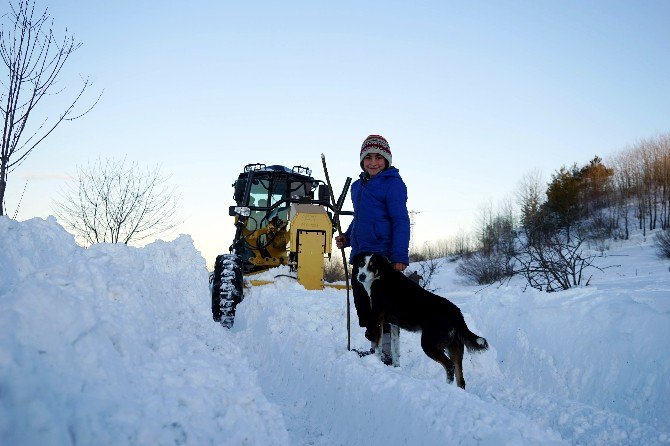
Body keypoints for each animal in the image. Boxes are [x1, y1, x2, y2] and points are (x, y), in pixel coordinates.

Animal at [356, 253, 488, 388]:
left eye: (372, 266)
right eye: (361, 263)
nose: (361, 277)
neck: (382, 275)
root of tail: (457, 313)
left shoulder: (378, 319)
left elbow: (378, 347)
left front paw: (376, 364)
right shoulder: (394, 326)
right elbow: (395, 350)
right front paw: (397, 368)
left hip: (429, 344)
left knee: (449, 366)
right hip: (454, 348)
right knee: (460, 379)